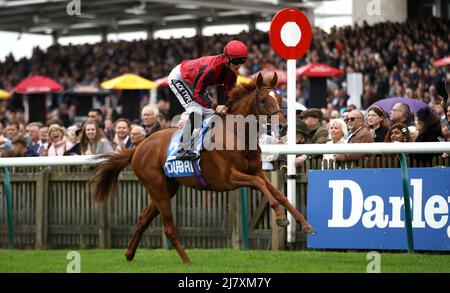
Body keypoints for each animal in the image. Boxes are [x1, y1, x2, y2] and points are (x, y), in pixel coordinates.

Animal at [92, 72, 312, 262]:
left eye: (280, 99)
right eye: (264, 100)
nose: (283, 126)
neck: (237, 133)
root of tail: (138, 148)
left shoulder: (257, 170)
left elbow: (278, 192)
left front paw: (305, 224)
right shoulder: (229, 178)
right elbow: (260, 185)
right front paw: (280, 216)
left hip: (167, 188)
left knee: (143, 220)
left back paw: (129, 254)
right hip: (157, 188)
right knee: (169, 228)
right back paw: (187, 261)